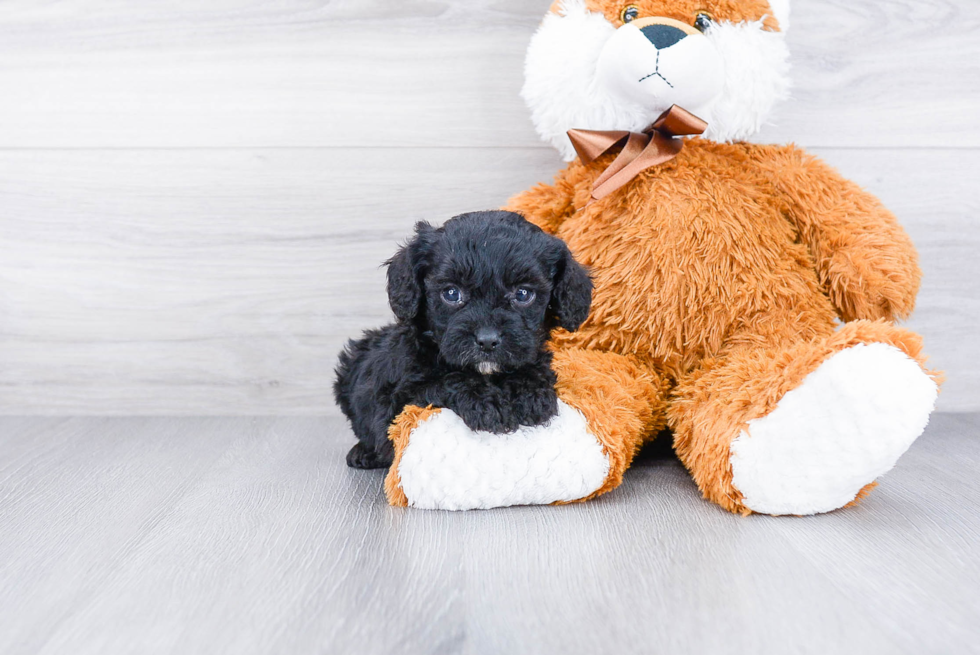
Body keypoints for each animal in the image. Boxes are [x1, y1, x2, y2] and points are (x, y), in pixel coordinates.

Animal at [332, 213, 588, 468]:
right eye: (452, 293)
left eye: (523, 294)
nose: (487, 340)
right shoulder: (396, 401)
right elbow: (445, 380)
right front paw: (486, 403)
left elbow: (533, 368)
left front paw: (530, 393)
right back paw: (362, 453)